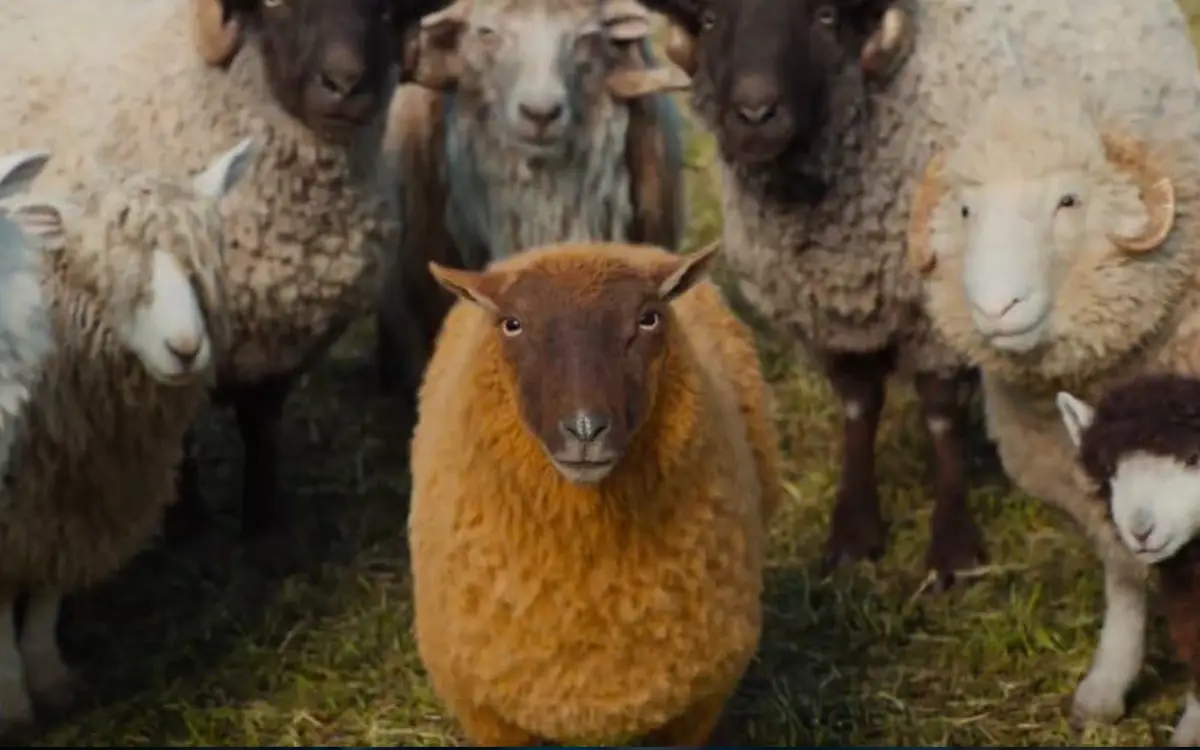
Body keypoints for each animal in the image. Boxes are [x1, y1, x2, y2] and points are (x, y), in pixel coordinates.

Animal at [0, 0, 454, 542]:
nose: (345, 86)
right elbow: (183, 437)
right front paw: (186, 518)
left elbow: (260, 425)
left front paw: (264, 520)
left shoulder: (283, 348)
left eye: (386, 11)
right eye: (280, 8)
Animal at [0, 137, 255, 733]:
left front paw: (49, 676)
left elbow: (49, 589)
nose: (186, 349)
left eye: (201, 266)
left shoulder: (76, 496)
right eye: (107, 272)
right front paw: (11, 701)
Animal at [628, 0, 989, 589]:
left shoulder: (942, 302)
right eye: (710, 20)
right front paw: (853, 536)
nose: (755, 113)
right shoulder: (832, 312)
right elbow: (858, 406)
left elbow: (941, 414)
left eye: (824, 17)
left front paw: (954, 548)